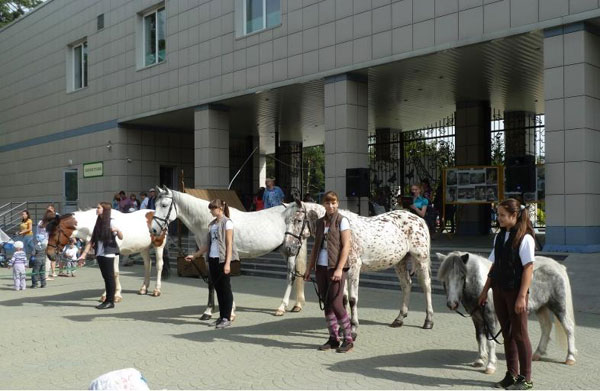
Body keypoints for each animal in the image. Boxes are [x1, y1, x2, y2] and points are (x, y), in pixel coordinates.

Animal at [150, 188, 310, 320]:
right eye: (155, 204)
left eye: (164, 205)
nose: (154, 230)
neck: (208, 221)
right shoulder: (208, 257)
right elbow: (214, 282)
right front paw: (215, 311)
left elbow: (218, 281)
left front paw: (219, 312)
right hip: (287, 251)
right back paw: (297, 305)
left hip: (290, 252)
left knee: (291, 276)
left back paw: (281, 308)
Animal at [284, 202, 434, 336]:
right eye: (285, 221)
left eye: (298, 220)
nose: (288, 248)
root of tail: (418, 219)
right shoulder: (340, 273)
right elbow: (343, 299)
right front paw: (343, 329)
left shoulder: (354, 269)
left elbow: (353, 299)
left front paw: (353, 327)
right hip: (400, 262)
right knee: (406, 285)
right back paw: (399, 319)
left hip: (421, 259)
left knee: (426, 286)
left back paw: (428, 321)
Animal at [436, 251, 576, 374]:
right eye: (445, 278)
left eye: (461, 276)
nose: (452, 304)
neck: (483, 286)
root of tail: (558, 266)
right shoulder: (477, 318)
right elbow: (479, 338)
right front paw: (480, 360)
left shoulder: (490, 318)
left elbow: (490, 341)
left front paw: (490, 366)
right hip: (541, 307)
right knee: (546, 327)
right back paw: (537, 354)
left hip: (559, 307)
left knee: (568, 328)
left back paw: (570, 357)